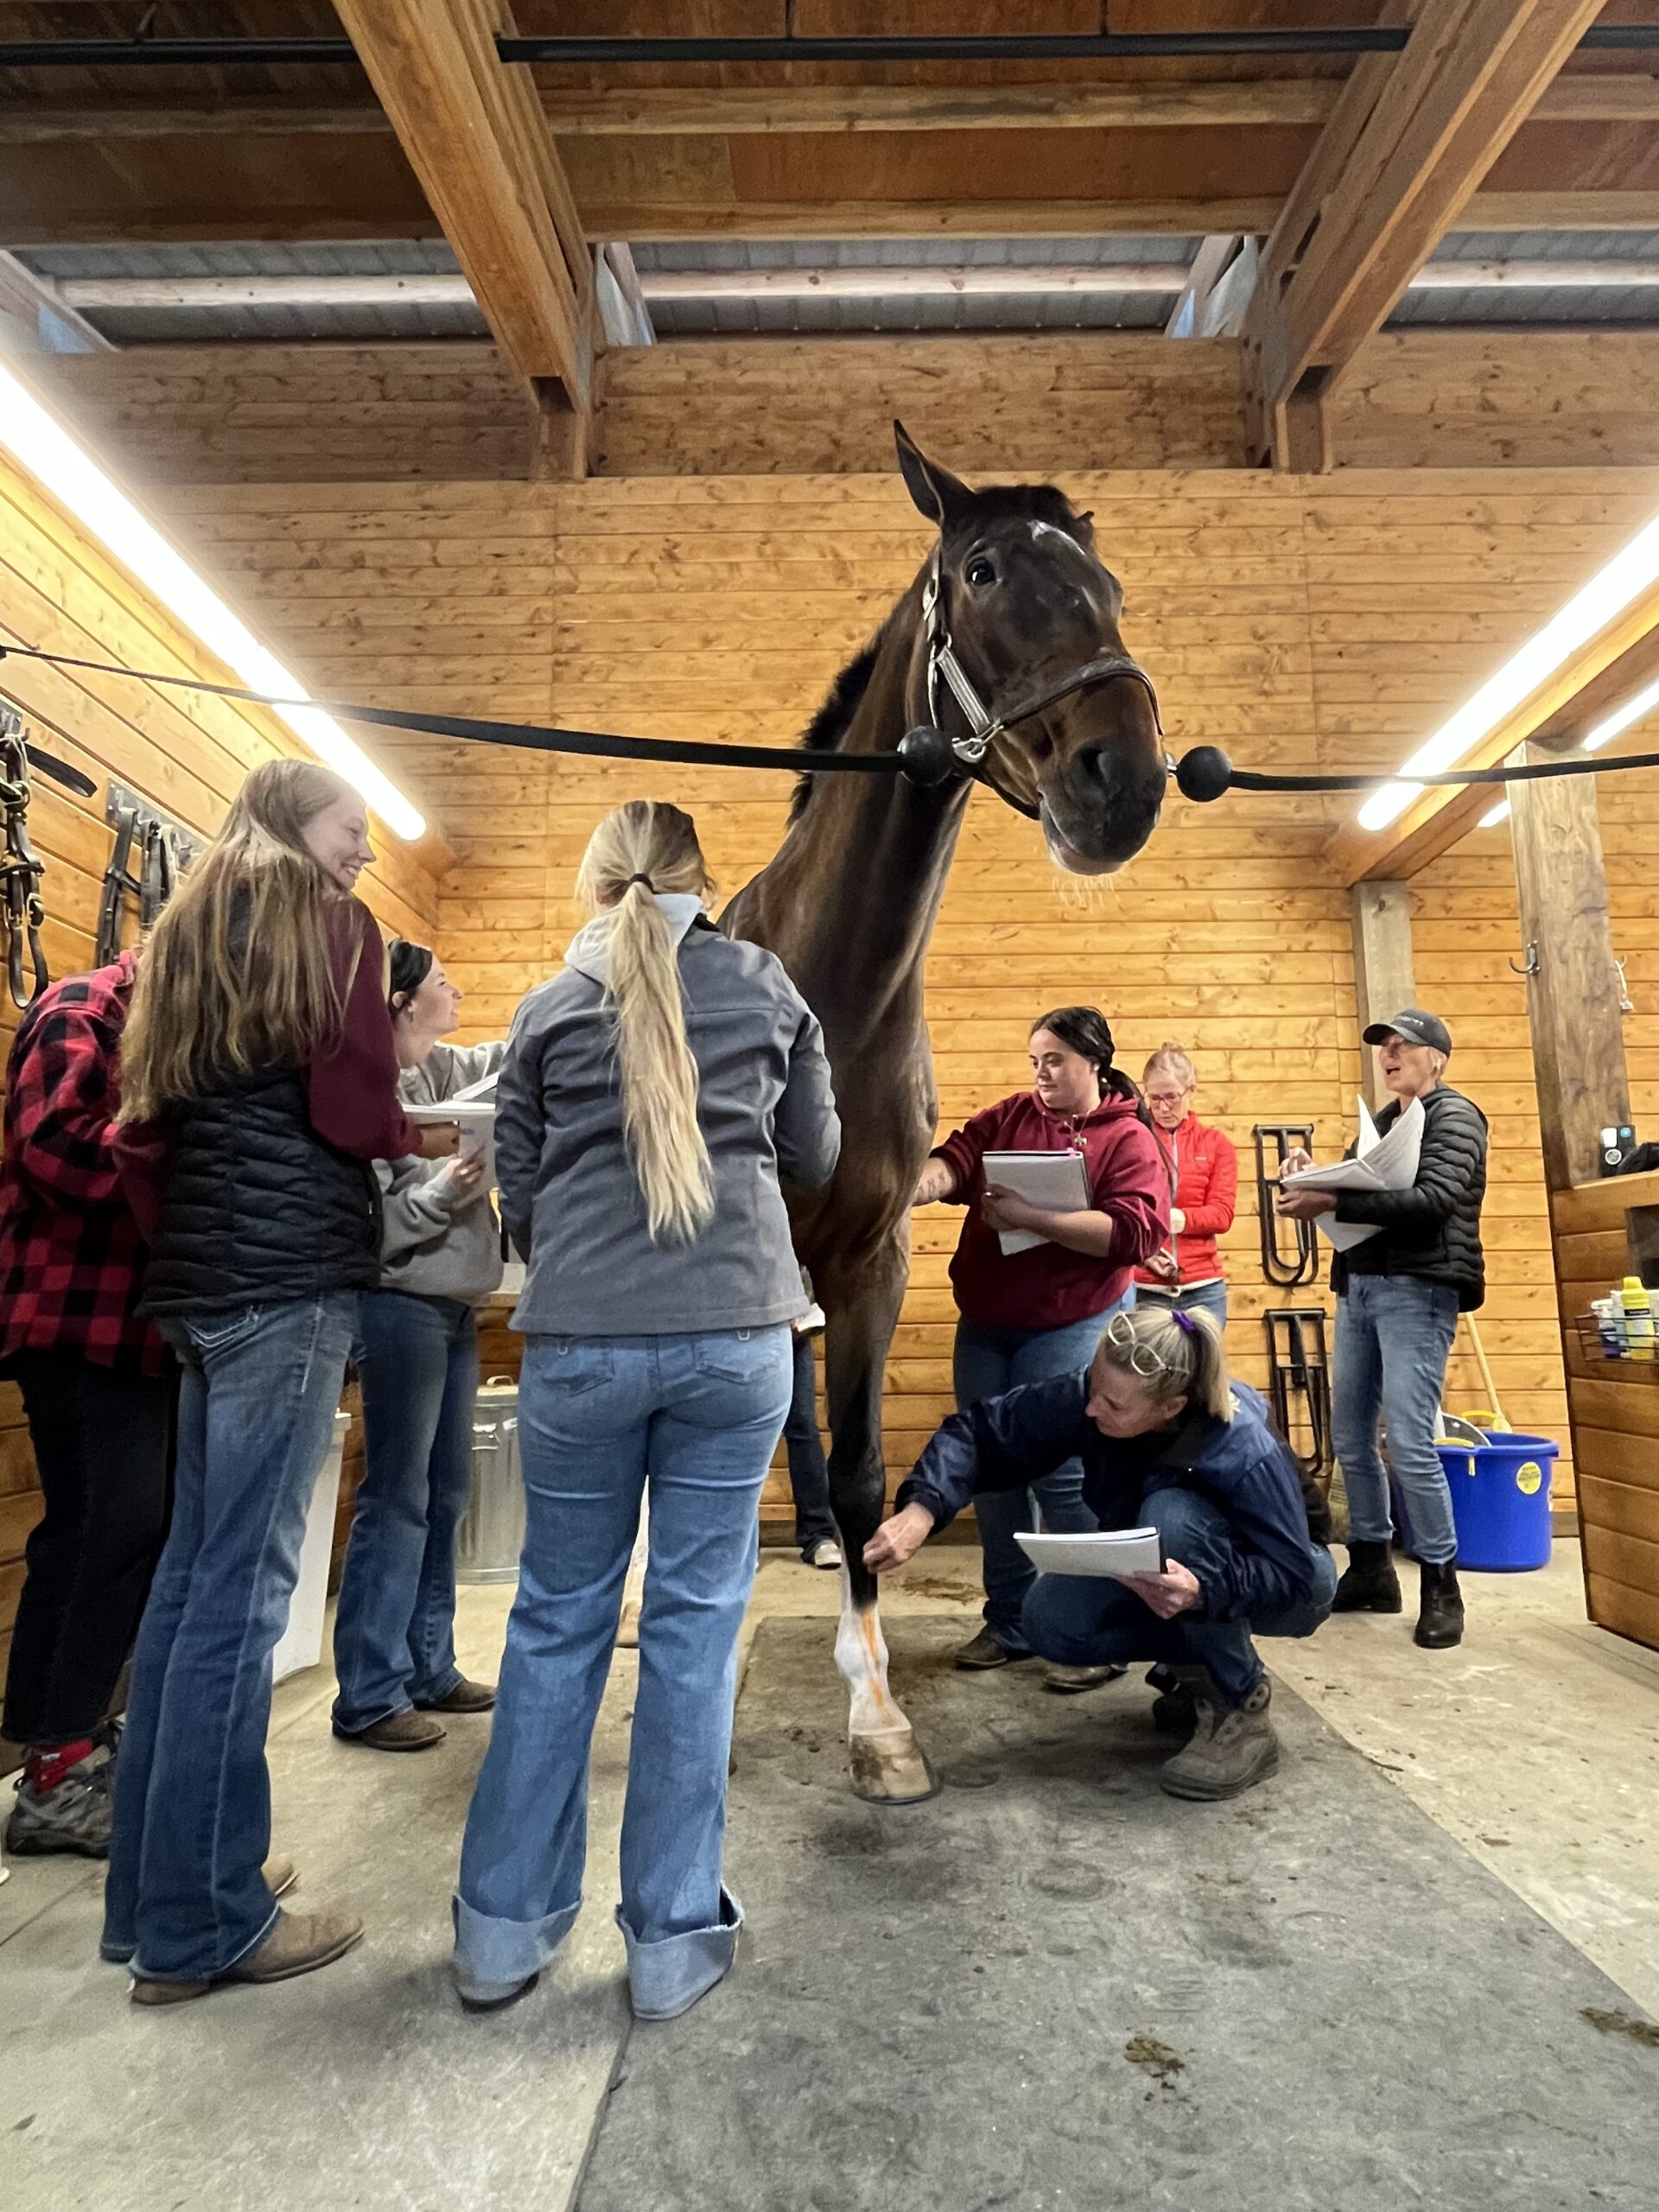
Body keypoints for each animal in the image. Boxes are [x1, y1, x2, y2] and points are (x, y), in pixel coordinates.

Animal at [725, 422, 1167, 1804]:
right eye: (979, 571)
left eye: (1112, 585)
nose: (1123, 780)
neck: (835, 990)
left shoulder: (873, 1261)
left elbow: (865, 1470)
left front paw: (877, 1716)